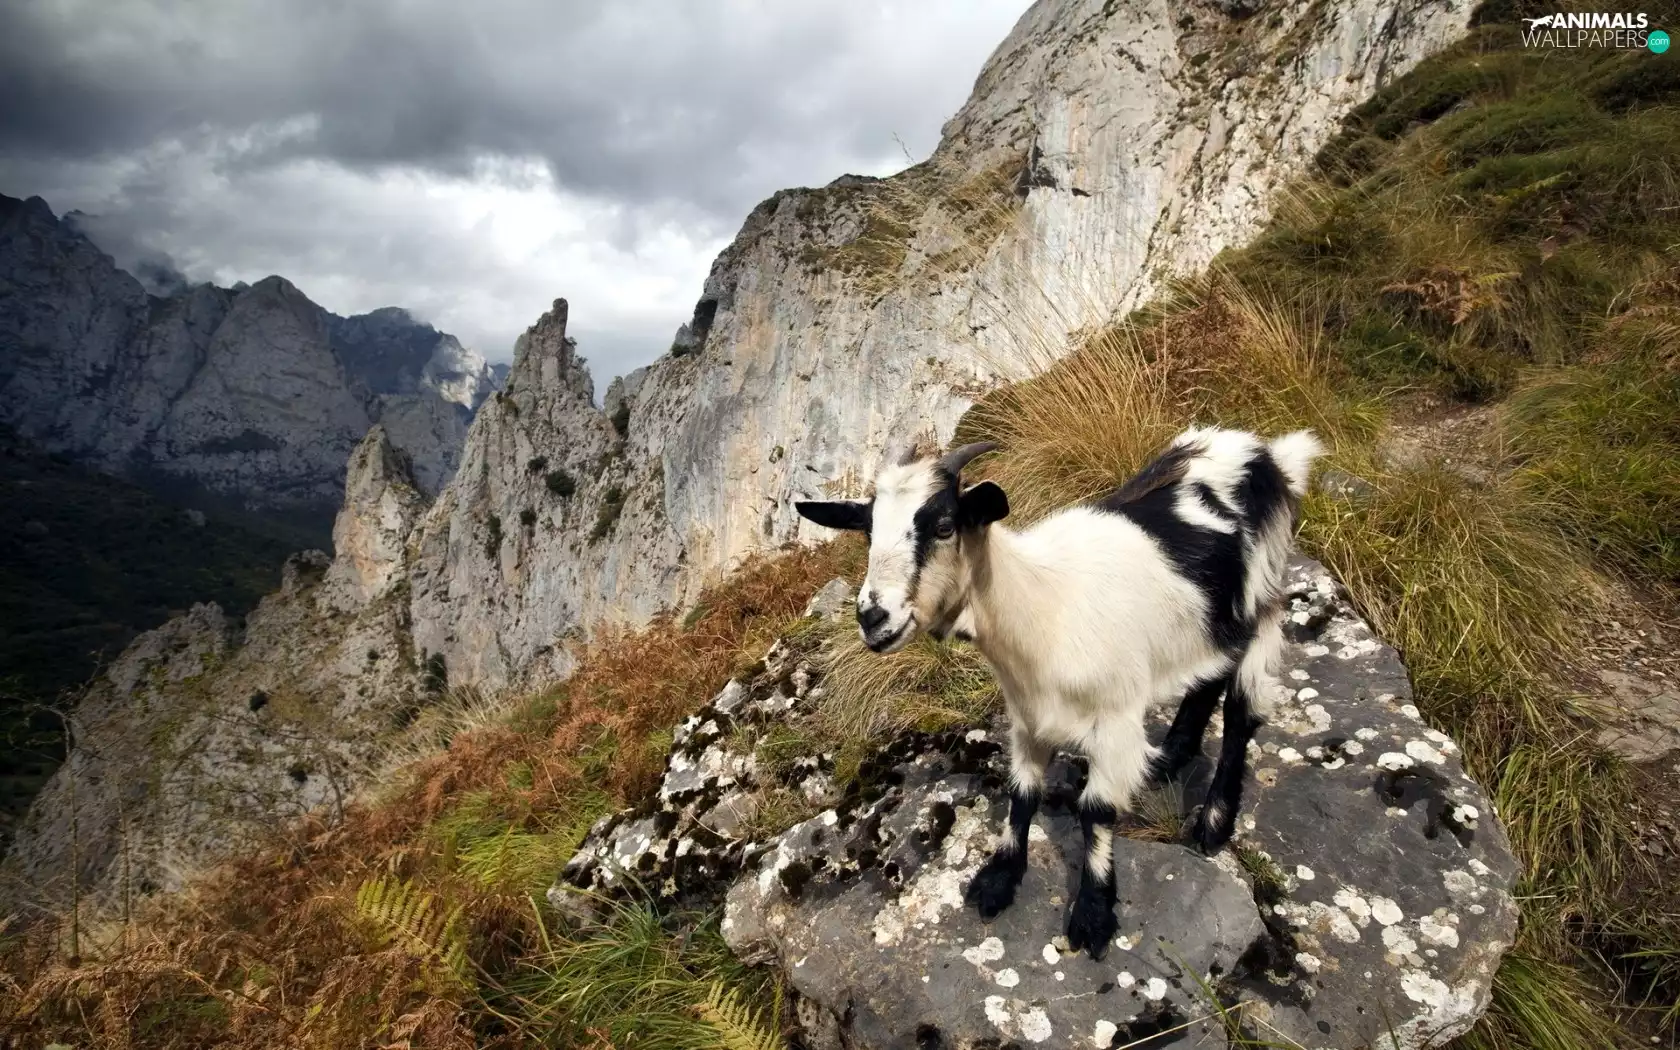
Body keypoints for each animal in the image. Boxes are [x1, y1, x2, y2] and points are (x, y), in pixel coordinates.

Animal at [794, 426, 1323, 959]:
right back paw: (1169, 758)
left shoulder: (1115, 718)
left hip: (1262, 597)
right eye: (867, 531)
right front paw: (998, 879)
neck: (1042, 605)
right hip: (1209, 621)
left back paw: (1214, 821)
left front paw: (1093, 912)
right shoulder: (1027, 716)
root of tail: (1262, 451)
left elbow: (1096, 810)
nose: (872, 617)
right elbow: (1022, 792)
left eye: (944, 525)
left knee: (1241, 709)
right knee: (1209, 677)